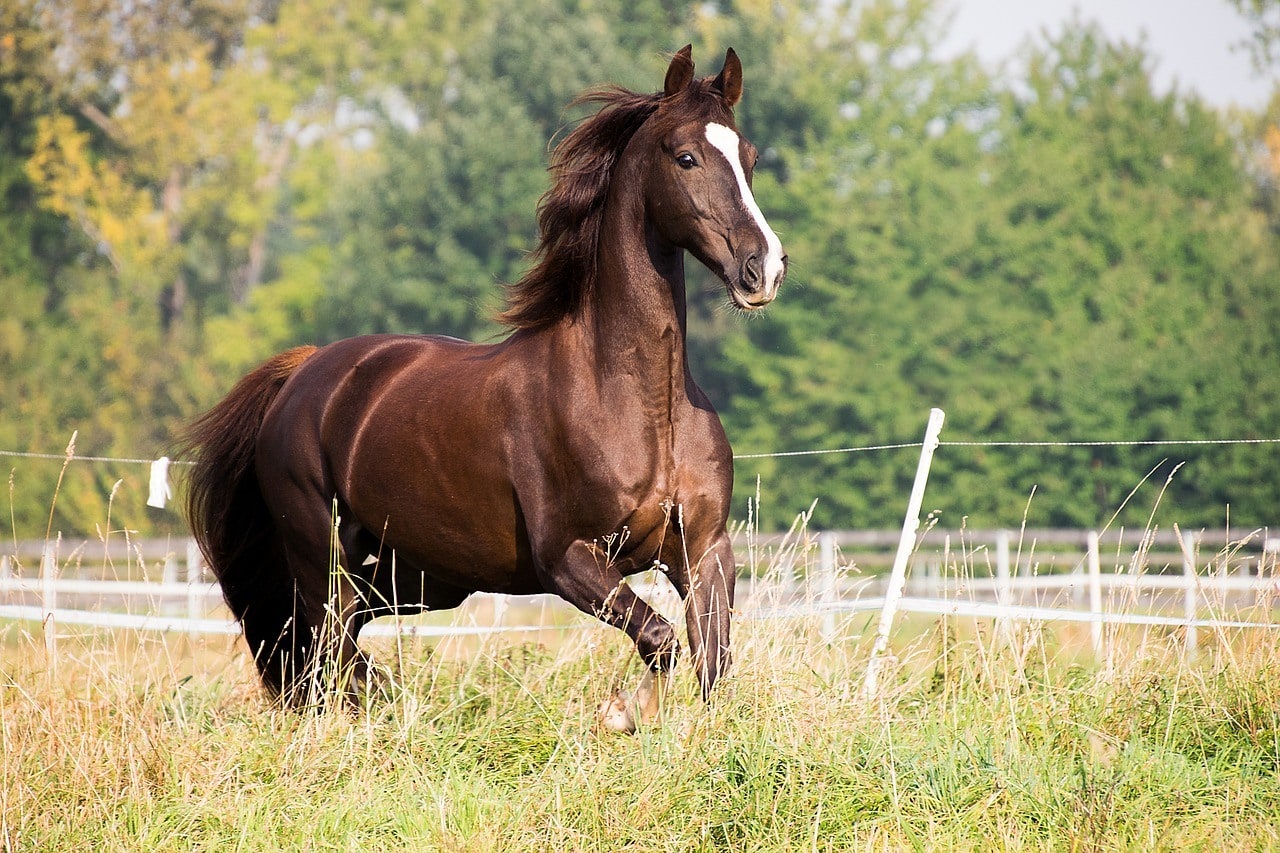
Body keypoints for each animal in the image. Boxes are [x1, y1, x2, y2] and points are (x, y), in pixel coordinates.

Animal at [177, 43, 778, 727]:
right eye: (686, 157)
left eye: (749, 157)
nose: (763, 268)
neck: (639, 404)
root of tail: (303, 374)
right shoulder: (567, 558)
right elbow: (661, 639)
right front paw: (624, 712)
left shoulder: (704, 552)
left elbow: (711, 661)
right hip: (321, 554)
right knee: (328, 644)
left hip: (416, 575)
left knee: (336, 640)